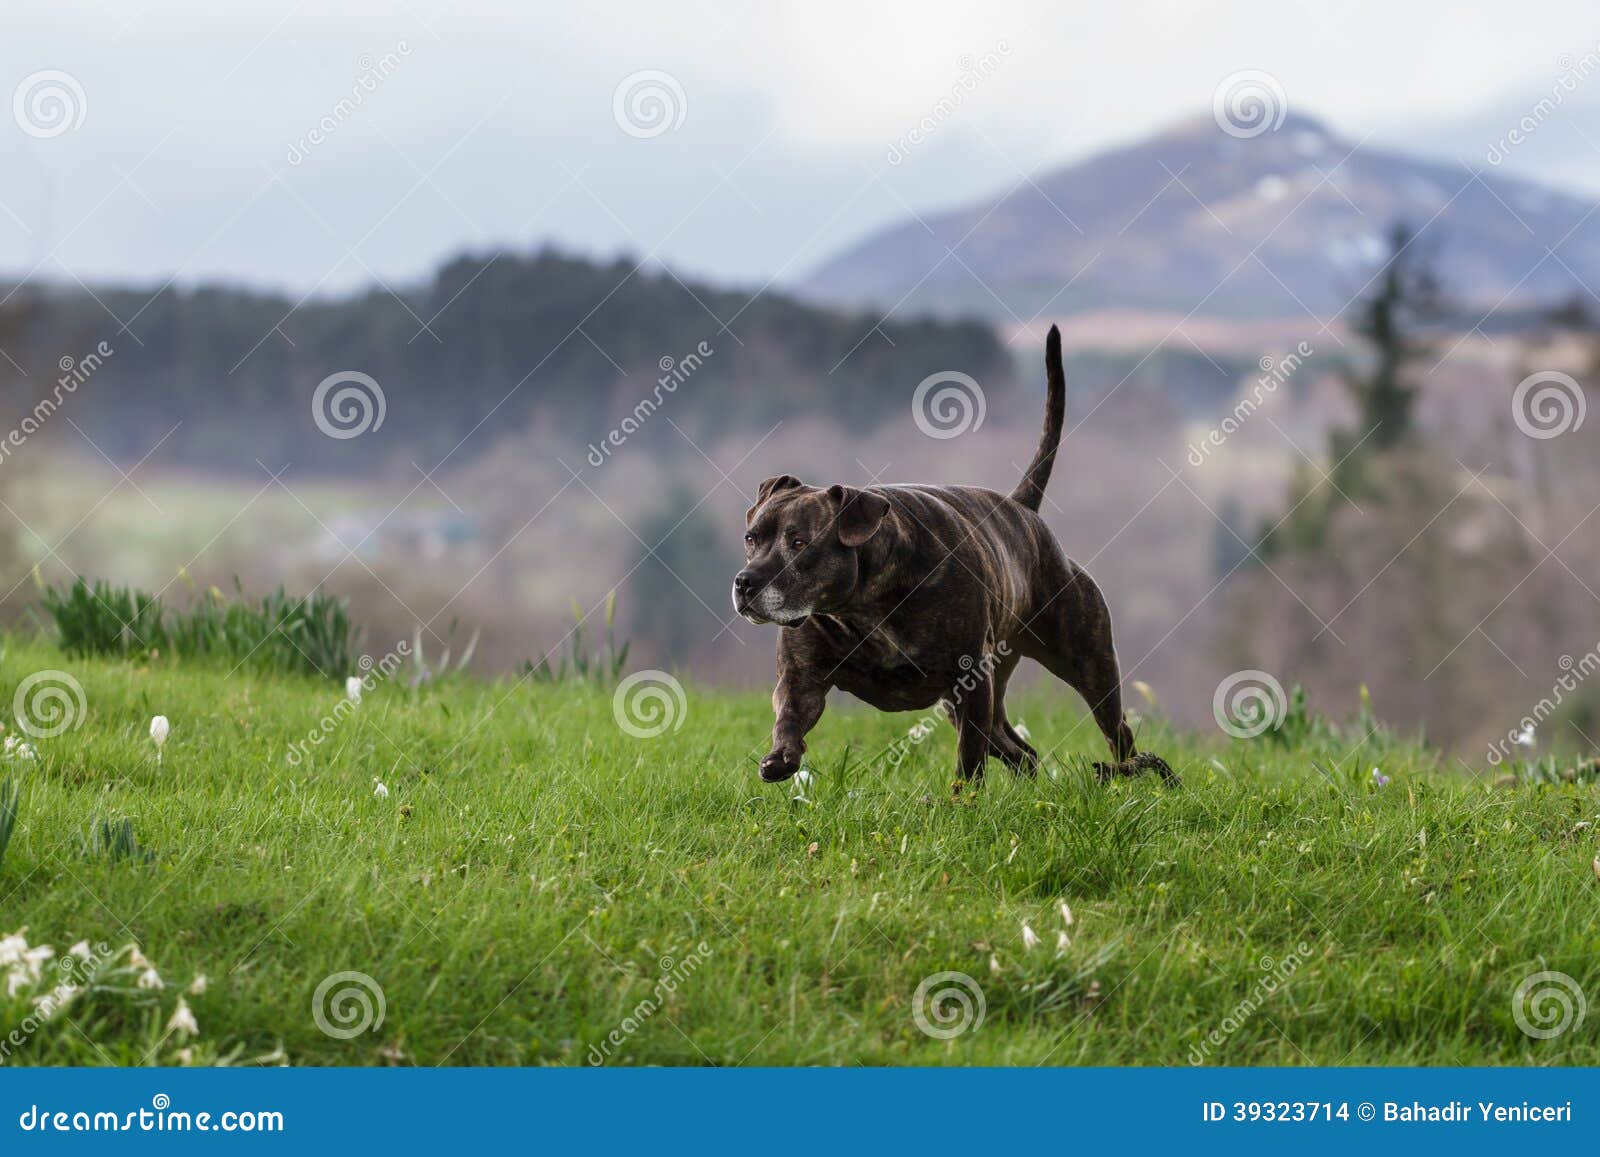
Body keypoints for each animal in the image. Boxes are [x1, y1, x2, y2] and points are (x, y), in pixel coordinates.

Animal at [732, 326, 1177, 787]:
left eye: (799, 543)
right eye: (751, 538)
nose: (745, 582)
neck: (864, 604)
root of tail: (1023, 509)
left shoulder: (970, 679)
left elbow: (969, 757)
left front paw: (964, 798)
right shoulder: (801, 678)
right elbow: (789, 717)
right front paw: (781, 758)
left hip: (1088, 664)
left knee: (1117, 731)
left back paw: (1134, 774)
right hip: (981, 691)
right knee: (1021, 749)